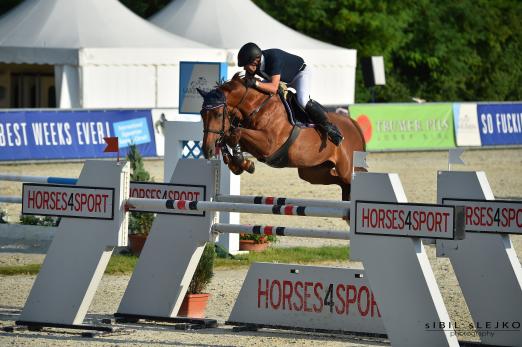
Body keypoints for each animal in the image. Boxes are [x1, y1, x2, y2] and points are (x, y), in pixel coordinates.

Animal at [197, 72, 364, 201]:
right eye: (202, 114)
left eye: (218, 114)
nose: (207, 150)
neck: (258, 107)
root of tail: (352, 123)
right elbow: (229, 137)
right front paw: (240, 163)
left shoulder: (268, 144)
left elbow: (236, 133)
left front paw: (242, 162)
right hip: (312, 172)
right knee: (340, 182)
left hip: (347, 169)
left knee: (349, 180)